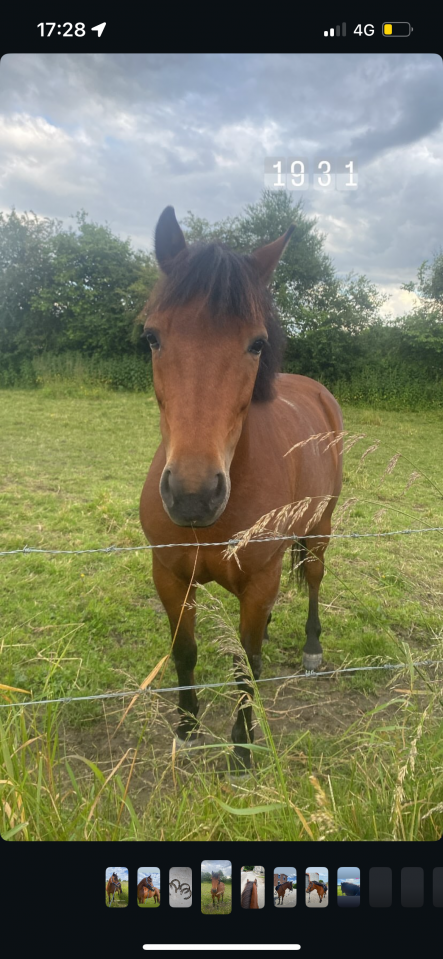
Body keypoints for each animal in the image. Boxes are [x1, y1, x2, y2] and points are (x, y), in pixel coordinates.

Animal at [139, 206, 344, 772]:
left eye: (255, 343)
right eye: (152, 337)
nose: (193, 494)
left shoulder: (258, 581)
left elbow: (246, 665)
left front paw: (241, 746)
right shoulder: (170, 576)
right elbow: (184, 651)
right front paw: (187, 730)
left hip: (320, 529)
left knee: (313, 578)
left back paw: (312, 650)